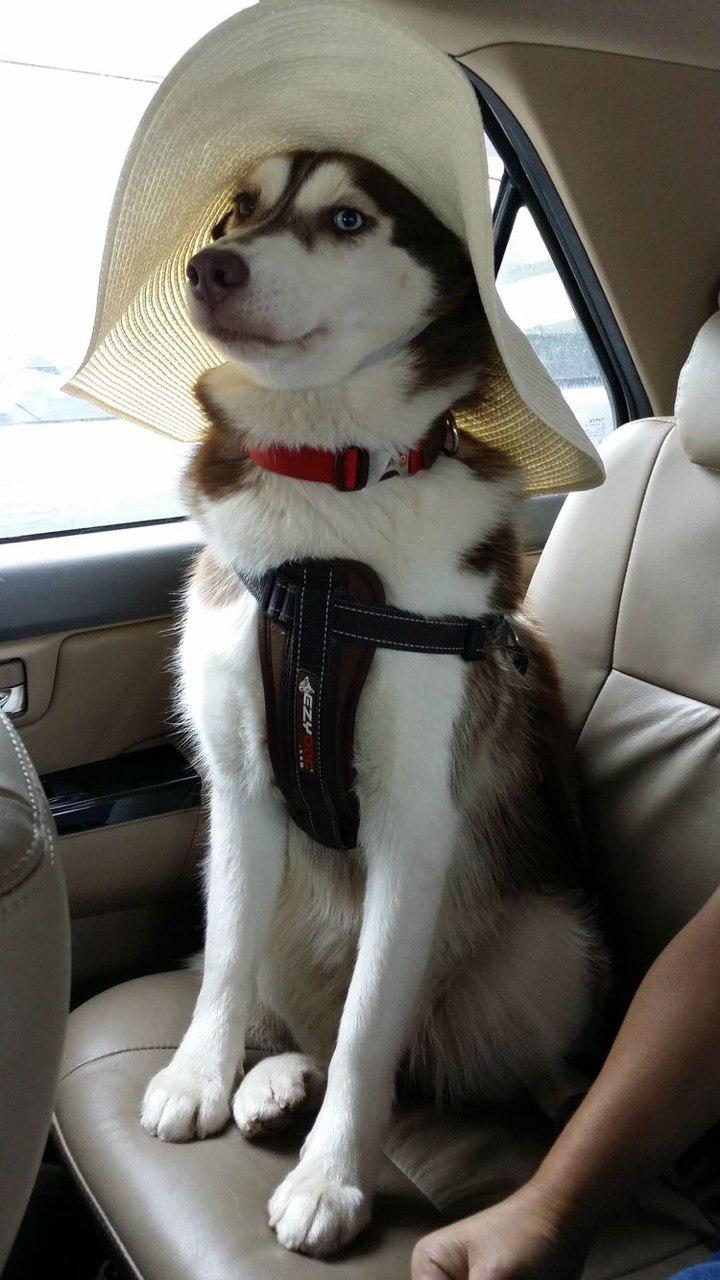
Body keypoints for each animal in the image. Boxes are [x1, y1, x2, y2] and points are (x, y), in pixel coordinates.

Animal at [139, 152, 599, 1259]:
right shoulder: (239, 794)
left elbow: (364, 1028)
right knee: (285, 1000)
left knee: (457, 1041)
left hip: (550, 944)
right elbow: (225, 965)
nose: (209, 267)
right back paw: (270, 1077)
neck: (330, 500)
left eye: (348, 218)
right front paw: (199, 1072)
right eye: (236, 211)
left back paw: (561, 1098)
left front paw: (332, 1178)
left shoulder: (416, 820)